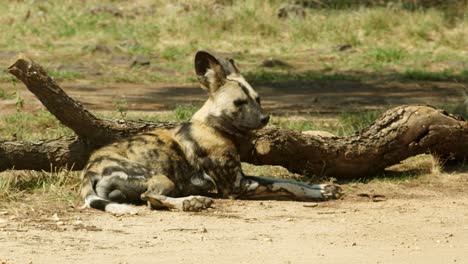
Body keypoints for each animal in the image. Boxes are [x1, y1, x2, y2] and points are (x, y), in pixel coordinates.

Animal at [82, 50, 342, 213]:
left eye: (258, 99)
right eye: (239, 103)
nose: (264, 118)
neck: (214, 128)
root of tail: (90, 167)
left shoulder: (243, 177)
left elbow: (285, 179)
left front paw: (322, 189)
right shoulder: (236, 187)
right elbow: (288, 186)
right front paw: (316, 193)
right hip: (160, 177)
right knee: (150, 198)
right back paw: (193, 203)